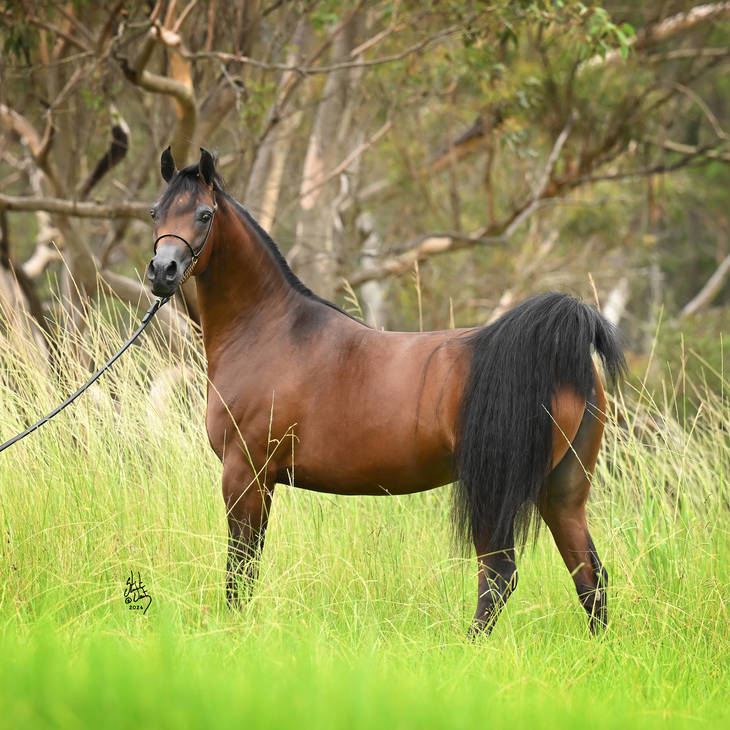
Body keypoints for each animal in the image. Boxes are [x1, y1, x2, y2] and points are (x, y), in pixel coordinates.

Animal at [146, 147, 625, 636]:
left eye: (205, 214)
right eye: (155, 212)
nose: (163, 271)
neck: (270, 330)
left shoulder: (246, 474)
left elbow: (240, 569)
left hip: (497, 491)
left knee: (499, 576)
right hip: (563, 492)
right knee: (589, 576)